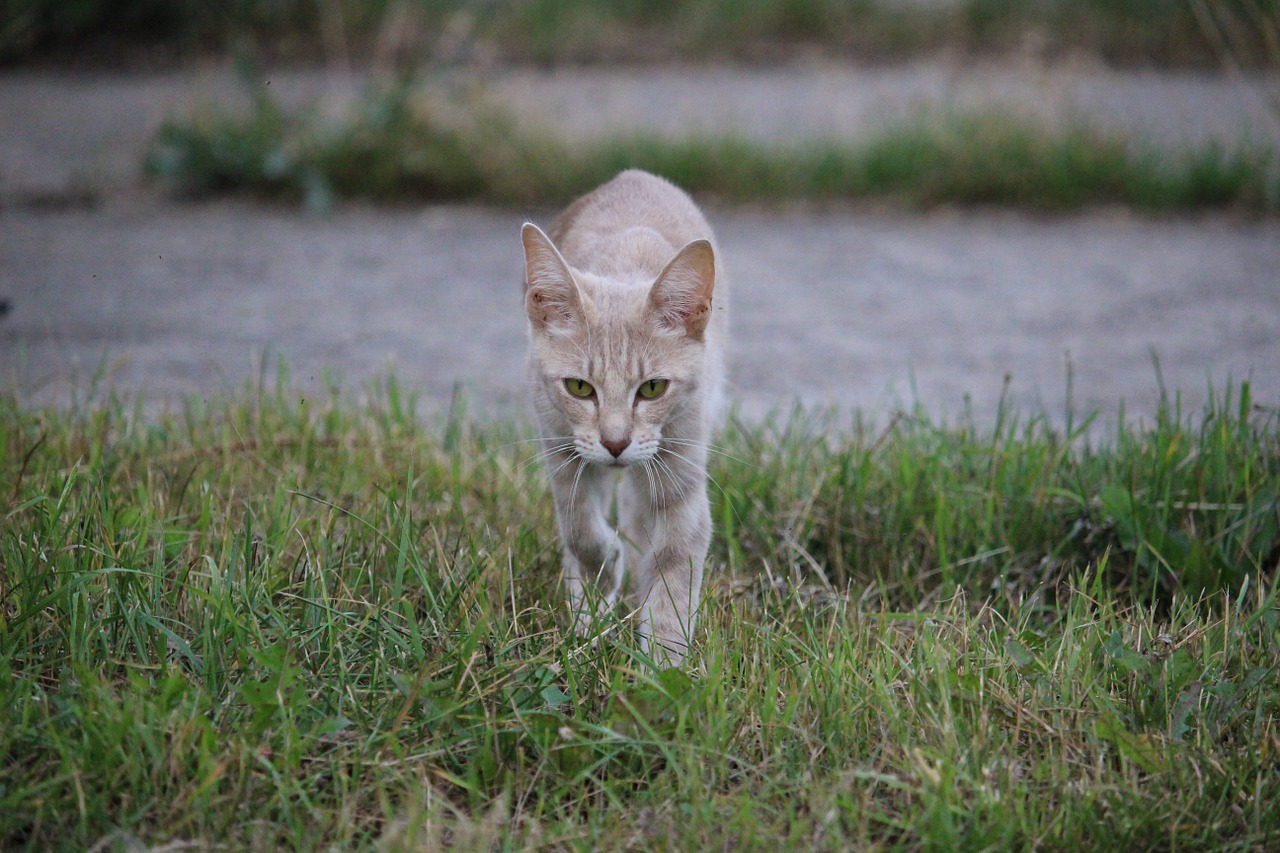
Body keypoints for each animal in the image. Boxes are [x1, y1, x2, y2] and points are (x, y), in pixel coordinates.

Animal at [514, 171, 727, 666]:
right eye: (579, 388)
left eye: (652, 388)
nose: (615, 444)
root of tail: (632, 175)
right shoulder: (561, 452)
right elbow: (580, 531)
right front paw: (601, 579)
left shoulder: (681, 470)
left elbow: (675, 566)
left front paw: (665, 664)